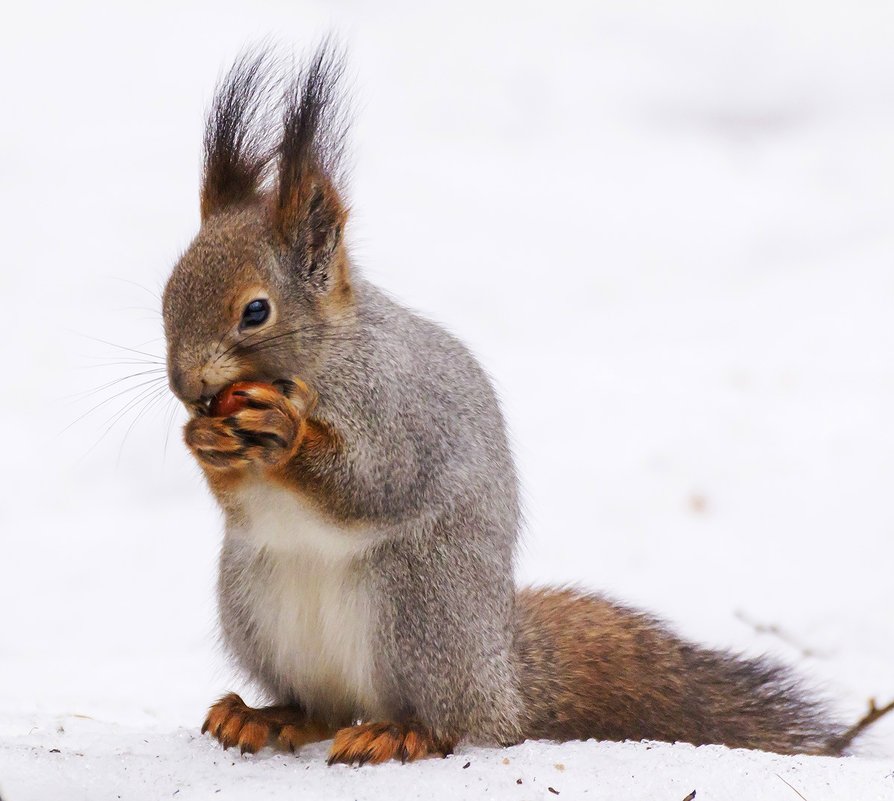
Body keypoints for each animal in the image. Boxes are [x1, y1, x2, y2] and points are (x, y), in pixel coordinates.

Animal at [164, 47, 864, 764]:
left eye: (256, 311)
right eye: (168, 292)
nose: (185, 385)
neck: (320, 363)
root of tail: (501, 682)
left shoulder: (403, 408)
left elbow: (375, 481)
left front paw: (284, 434)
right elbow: (241, 500)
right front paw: (203, 441)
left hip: (418, 605)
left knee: (446, 722)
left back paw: (401, 730)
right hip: (253, 599)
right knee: (321, 707)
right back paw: (264, 715)